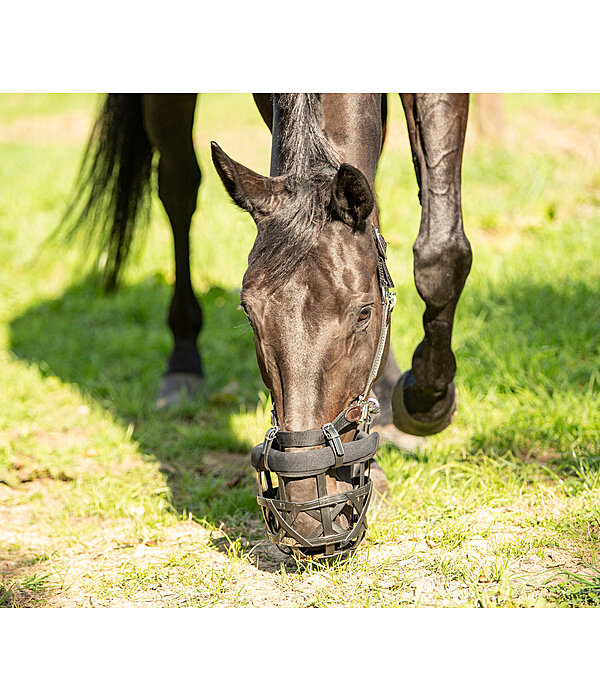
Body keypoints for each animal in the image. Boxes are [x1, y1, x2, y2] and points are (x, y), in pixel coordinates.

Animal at [62, 94, 474, 556]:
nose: (308, 512)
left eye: (365, 313)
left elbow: (441, 253)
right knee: (178, 187)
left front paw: (424, 405)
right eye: (248, 313)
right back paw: (182, 364)